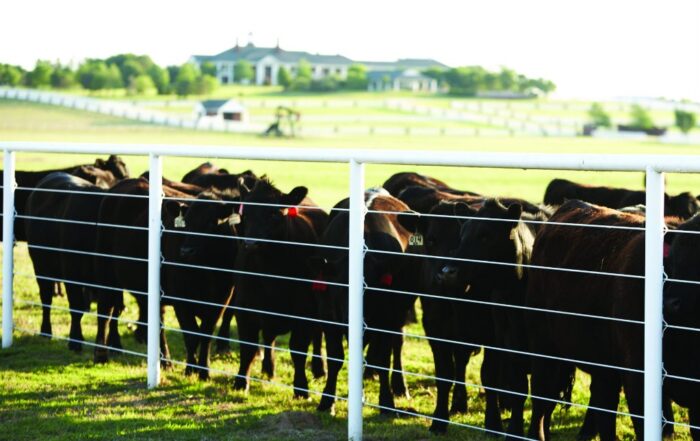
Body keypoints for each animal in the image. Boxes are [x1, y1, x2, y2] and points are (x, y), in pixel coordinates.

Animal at [232, 178, 328, 398]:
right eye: (245, 213)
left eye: (274, 213)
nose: (251, 244)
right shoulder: (244, 308)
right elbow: (248, 347)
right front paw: (241, 382)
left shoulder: (304, 311)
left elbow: (298, 349)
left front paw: (301, 388)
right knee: (269, 338)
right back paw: (268, 368)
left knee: (318, 336)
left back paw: (319, 369)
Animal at [309, 189, 420, 414]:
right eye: (341, 289)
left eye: (372, 292)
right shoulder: (328, 315)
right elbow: (335, 358)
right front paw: (327, 401)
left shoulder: (388, 317)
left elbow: (385, 359)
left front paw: (386, 402)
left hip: (400, 313)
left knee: (397, 344)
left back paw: (399, 385)